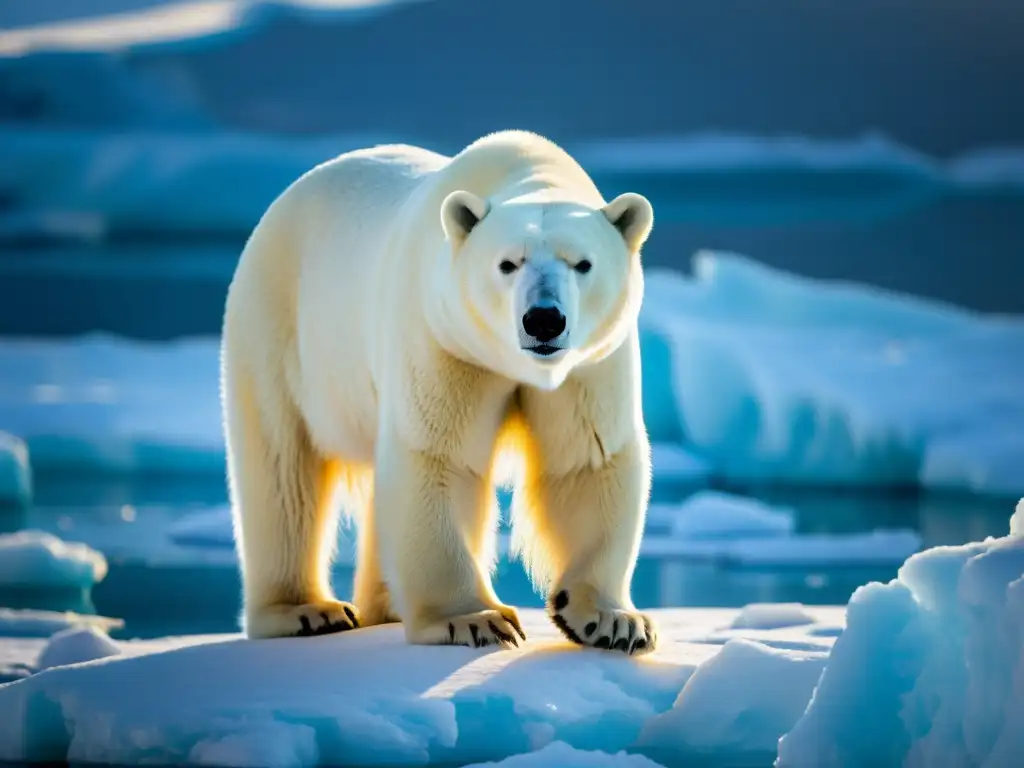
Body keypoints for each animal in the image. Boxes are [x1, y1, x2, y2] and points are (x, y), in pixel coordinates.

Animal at [221, 131, 659, 655]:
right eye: (507, 263)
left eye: (583, 263)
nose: (543, 319)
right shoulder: (443, 338)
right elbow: (438, 455)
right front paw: (474, 620)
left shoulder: (589, 365)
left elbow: (586, 460)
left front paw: (613, 621)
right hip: (279, 324)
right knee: (282, 466)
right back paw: (307, 611)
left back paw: (386, 606)